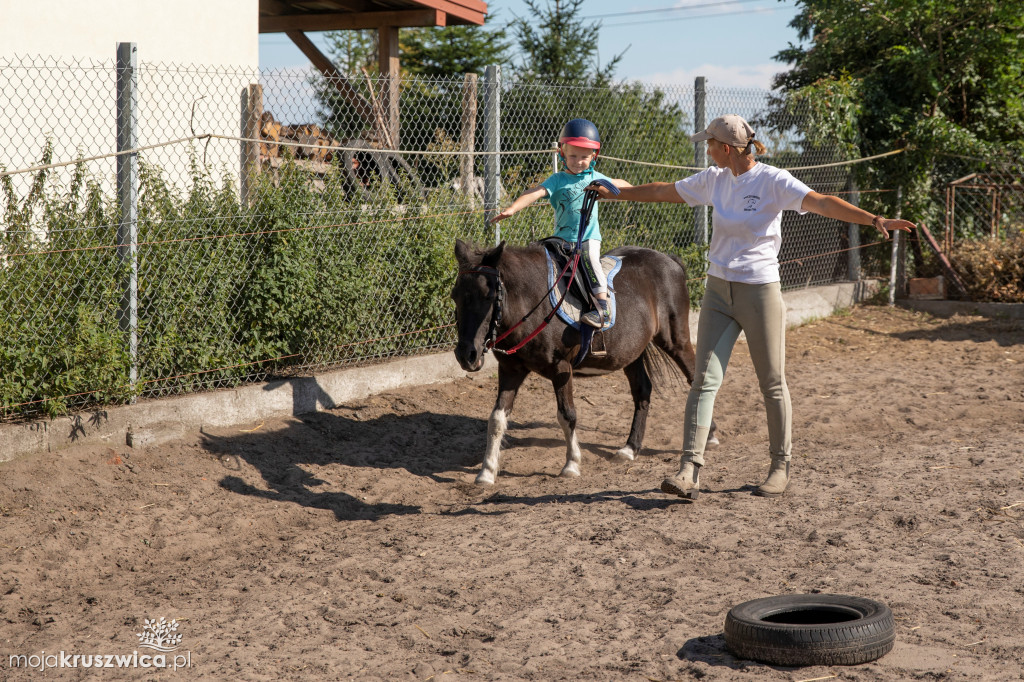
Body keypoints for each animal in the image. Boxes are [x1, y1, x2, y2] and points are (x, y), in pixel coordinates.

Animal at [452, 238, 716, 483]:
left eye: (488, 296)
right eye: (455, 296)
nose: (466, 355)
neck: (534, 301)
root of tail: (670, 260)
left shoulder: (561, 368)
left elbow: (567, 414)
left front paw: (572, 464)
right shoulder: (510, 369)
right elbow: (497, 418)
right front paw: (487, 472)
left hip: (676, 340)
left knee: (695, 378)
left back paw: (709, 435)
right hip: (632, 353)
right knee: (642, 390)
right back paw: (630, 449)